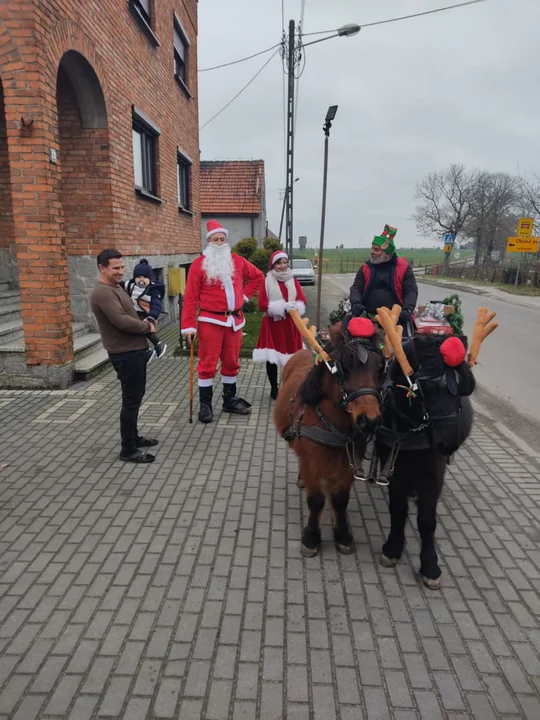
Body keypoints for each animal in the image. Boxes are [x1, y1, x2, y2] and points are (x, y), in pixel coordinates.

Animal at [276, 310, 386, 556]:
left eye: (380, 369)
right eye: (344, 367)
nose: (369, 420)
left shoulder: (348, 464)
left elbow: (340, 499)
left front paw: (343, 535)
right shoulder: (313, 462)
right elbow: (316, 500)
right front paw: (311, 538)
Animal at [374, 306, 496, 588]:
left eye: (465, 385)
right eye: (425, 386)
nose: (448, 442)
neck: (411, 427)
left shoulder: (434, 470)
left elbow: (427, 520)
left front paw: (430, 565)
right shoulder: (395, 466)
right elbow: (397, 508)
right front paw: (393, 548)